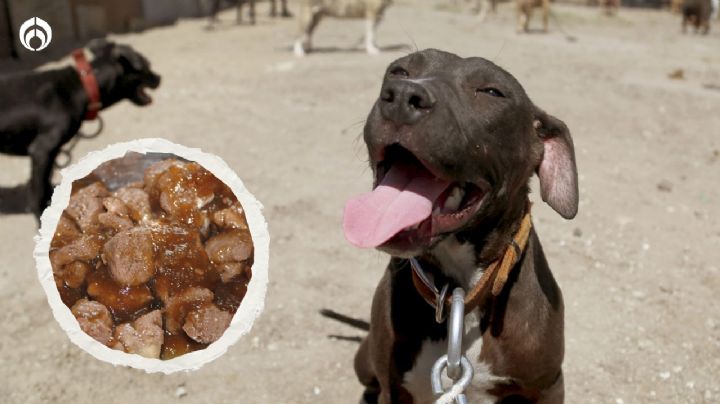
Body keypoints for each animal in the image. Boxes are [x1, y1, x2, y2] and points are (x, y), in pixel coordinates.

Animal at [0, 38, 160, 218]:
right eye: (146, 64)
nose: (159, 78)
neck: (82, 88)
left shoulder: (49, 155)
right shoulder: (42, 151)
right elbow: (38, 196)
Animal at [344, 50, 580, 404]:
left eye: (491, 92)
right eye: (399, 70)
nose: (401, 95)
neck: (460, 293)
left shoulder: (548, 386)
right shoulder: (393, 389)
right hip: (365, 360)